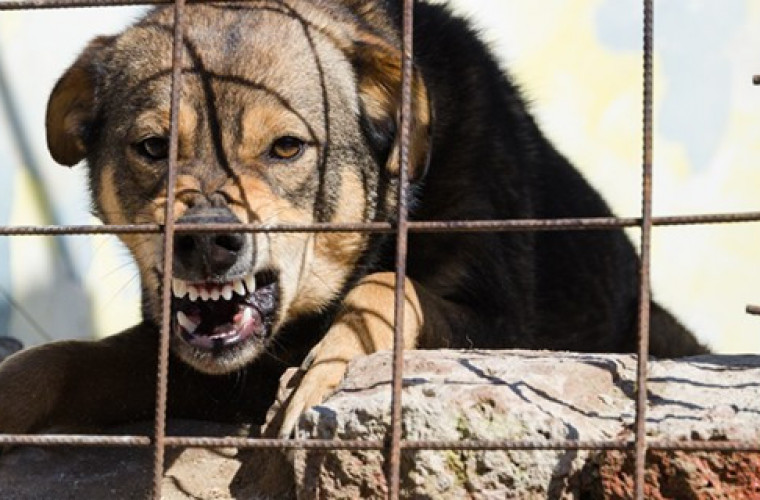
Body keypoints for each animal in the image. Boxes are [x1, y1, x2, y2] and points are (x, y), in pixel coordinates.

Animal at [0, 0, 708, 438]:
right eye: (153, 148)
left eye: (287, 147)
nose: (205, 244)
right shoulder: (201, 371)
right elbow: (57, 357)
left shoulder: (505, 329)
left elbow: (388, 286)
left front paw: (325, 367)